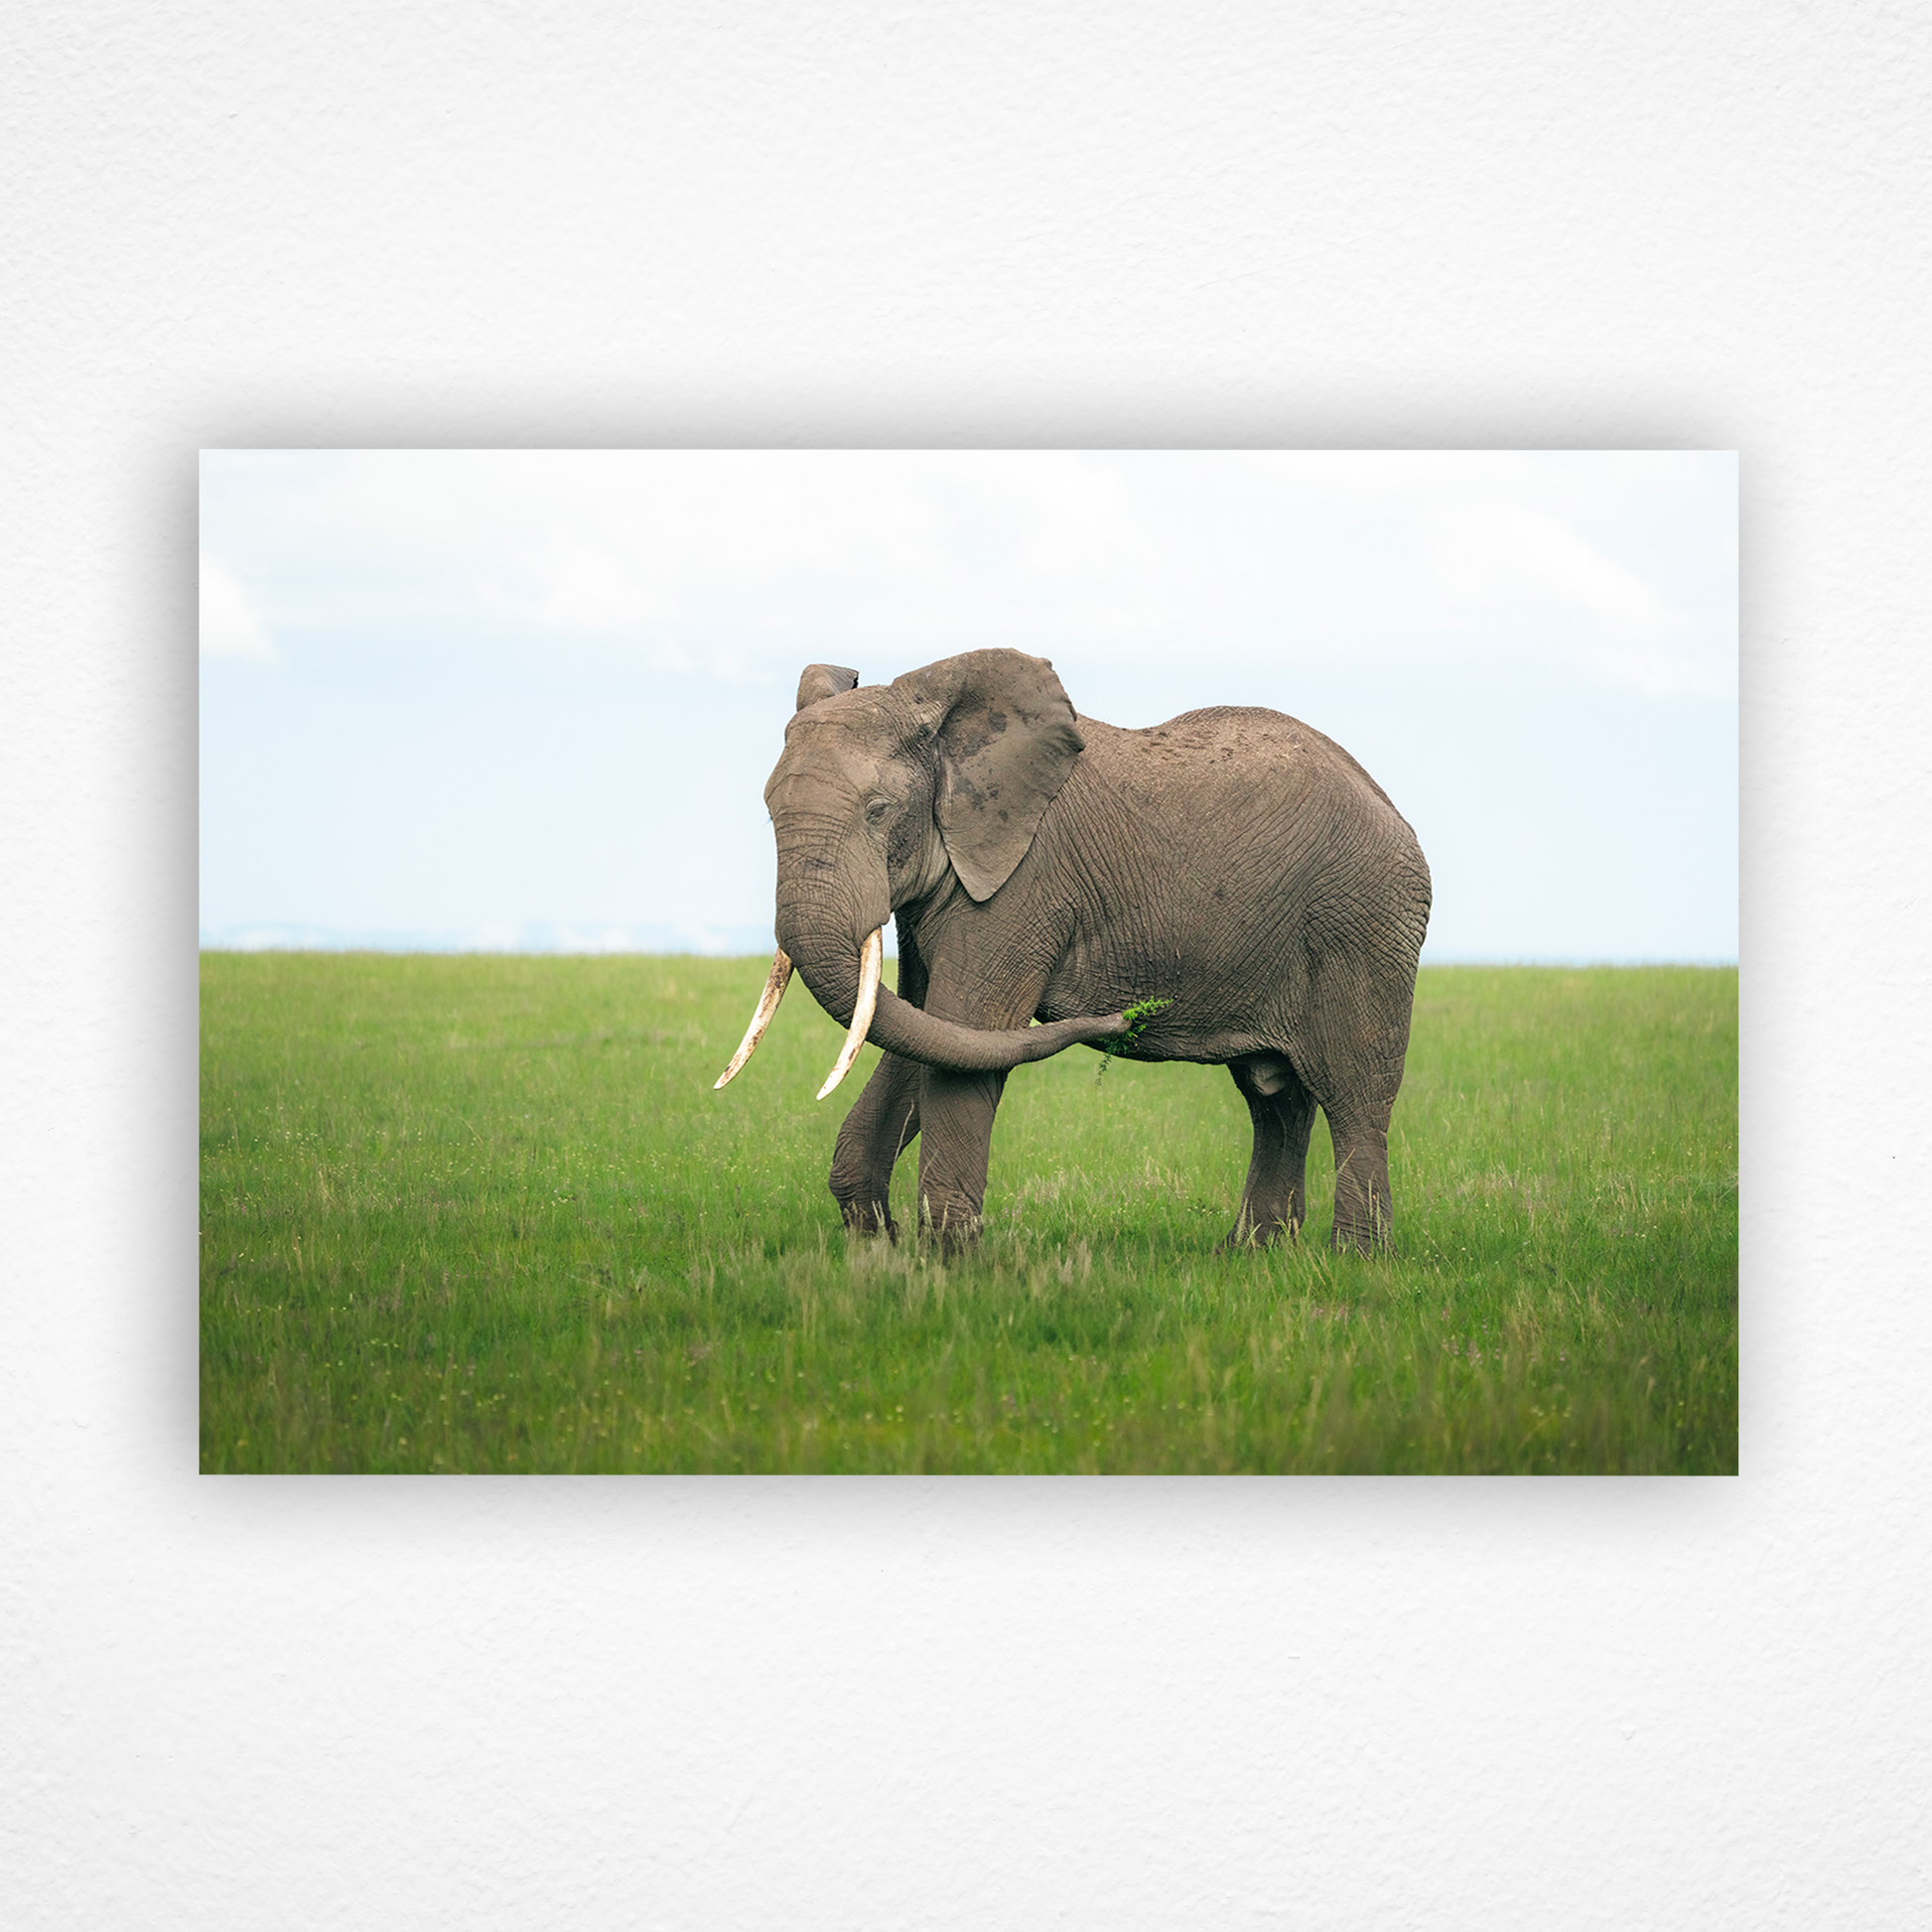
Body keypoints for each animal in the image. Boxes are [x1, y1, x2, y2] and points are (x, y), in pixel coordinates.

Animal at [715, 649, 1431, 1253]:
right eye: (769, 810)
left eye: (879, 811)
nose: (1133, 1016)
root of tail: (1394, 812)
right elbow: (919, 1026)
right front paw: (877, 1246)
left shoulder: (1023, 881)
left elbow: (965, 1031)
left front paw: (951, 1263)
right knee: (1274, 1097)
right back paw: (1253, 1256)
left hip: (1362, 925)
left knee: (1355, 1095)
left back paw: (1354, 1261)